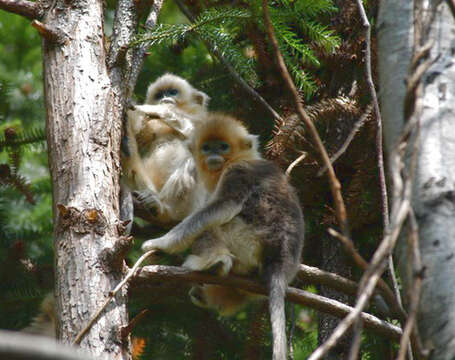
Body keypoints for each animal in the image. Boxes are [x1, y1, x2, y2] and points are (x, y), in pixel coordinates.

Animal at [124, 73, 211, 226]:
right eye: (159, 94)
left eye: (173, 92)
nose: (164, 98)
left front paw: (160, 109)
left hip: (190, 207)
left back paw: (163, 210)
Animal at [142, 113, 304, 360]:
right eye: (207, 147)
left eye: (223, 146)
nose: (214, 155)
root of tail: (280, 263)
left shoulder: (238, 171)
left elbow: (223, 207)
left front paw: (162, 243)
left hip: (248, 241)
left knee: (210, 226)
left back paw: (214, 262)